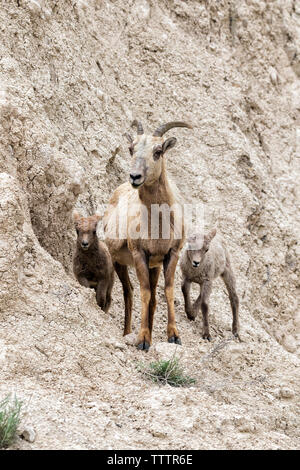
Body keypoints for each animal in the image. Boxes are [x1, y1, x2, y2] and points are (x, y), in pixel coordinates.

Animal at [103, 120, 192, 348]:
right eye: (131, 149)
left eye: (158, 151)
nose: (135, 177)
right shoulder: (139, 254)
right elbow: (144, 292)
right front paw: (143, 340)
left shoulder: (170, 254)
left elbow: (166, 292)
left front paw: (174, 336)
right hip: (119, 261)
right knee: (129, 292)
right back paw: (128, 333)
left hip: (155, 267)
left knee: (150, 297)